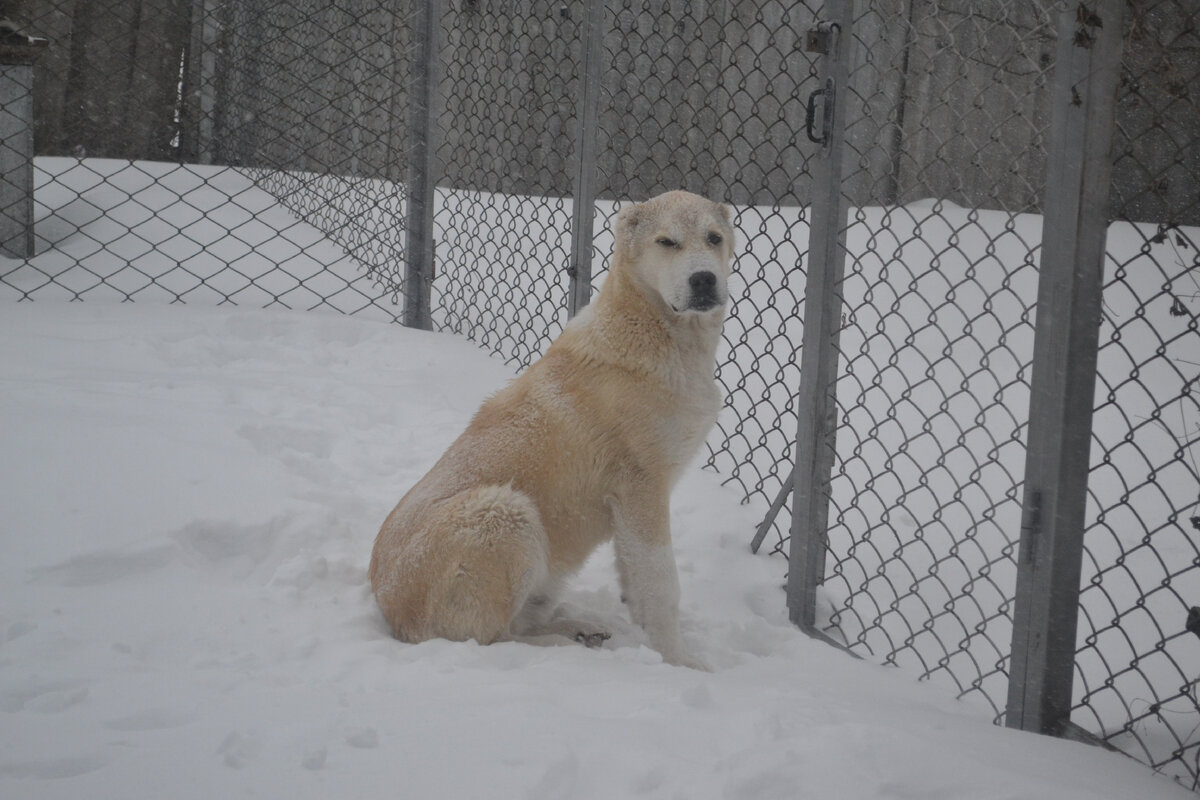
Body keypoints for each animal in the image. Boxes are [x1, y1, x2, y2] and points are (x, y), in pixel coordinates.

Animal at [369, 189, 734, 671]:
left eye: (714, 238)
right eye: (667, 242)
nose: (704, 279)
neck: (650, 328)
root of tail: (389, 610)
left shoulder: (630, 508)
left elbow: (638, 582)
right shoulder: (642, 488)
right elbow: (661, 585)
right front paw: (680, 662)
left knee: (520, 624)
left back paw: (579, 628)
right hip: (506, 513)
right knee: (490, 640)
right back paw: (565, 646)